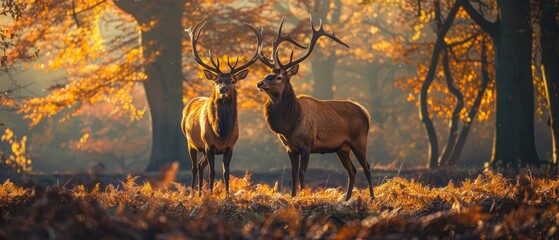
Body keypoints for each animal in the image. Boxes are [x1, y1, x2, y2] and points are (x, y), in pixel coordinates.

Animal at [183, 20, 264, 196]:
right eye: (217, 80)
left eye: (232, 80)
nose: (223, 89)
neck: (221, 132)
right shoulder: (209, 145)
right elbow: (213, 173)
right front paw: (212, 195)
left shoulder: (230, 146)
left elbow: (226, 172)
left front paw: (227, 195)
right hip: (191, 142)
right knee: (194, 167)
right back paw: (193, 193)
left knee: (200, 165)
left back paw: (200, 193)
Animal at [258, 17, 376, 201]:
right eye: (267, 74)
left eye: (278, 77)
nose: (259, 83)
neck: (291, 124)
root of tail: (365, 112)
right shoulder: (290, 148)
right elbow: (293, 174)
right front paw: (293, 197)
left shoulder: (307, 144)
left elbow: (302, 173)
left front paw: (303, 196)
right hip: (342, 147)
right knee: (352, 170)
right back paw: (347, 199)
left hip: (359, 140)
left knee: (367, 167)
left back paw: (372, 197)